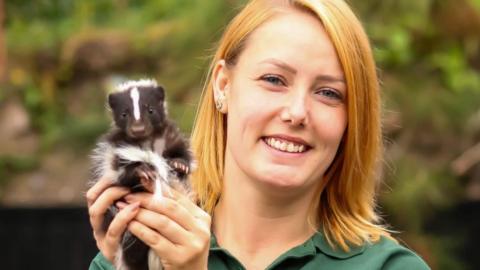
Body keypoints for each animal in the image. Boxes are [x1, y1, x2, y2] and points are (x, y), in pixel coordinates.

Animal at [90, 78, 193, 270]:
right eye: (124, 114)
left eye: (151, 110)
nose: (138, 128)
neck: (145, 141)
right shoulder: (115, 152)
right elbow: (121, 174)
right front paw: (142, 170)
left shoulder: (171, 136)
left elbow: (182, 153)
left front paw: (180, 164)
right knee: (132, 250)